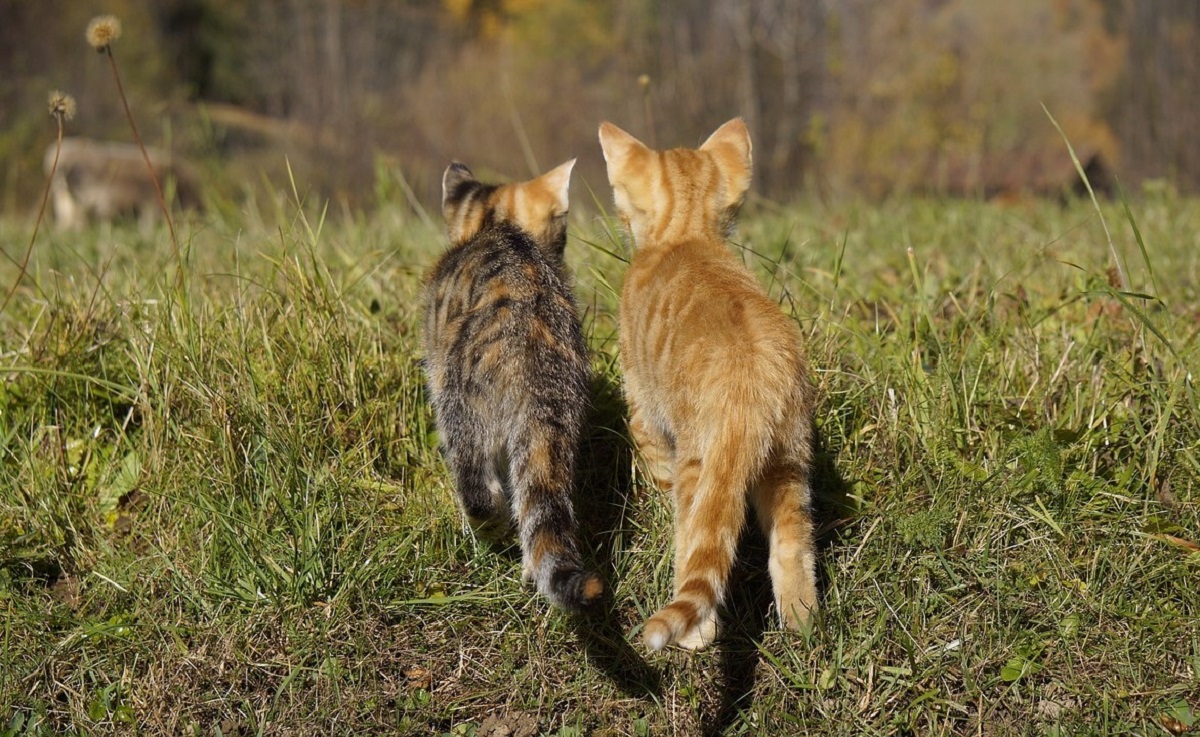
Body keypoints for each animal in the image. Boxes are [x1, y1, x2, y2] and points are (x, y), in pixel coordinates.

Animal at [597, 120, 820, 652]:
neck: (686, 231)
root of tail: (750, 375)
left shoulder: (642, 406)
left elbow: (655, 469)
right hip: (790, 461)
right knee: (792, 545)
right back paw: (804, 623)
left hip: (700, 464)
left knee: (697, 546)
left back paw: (696, 633)